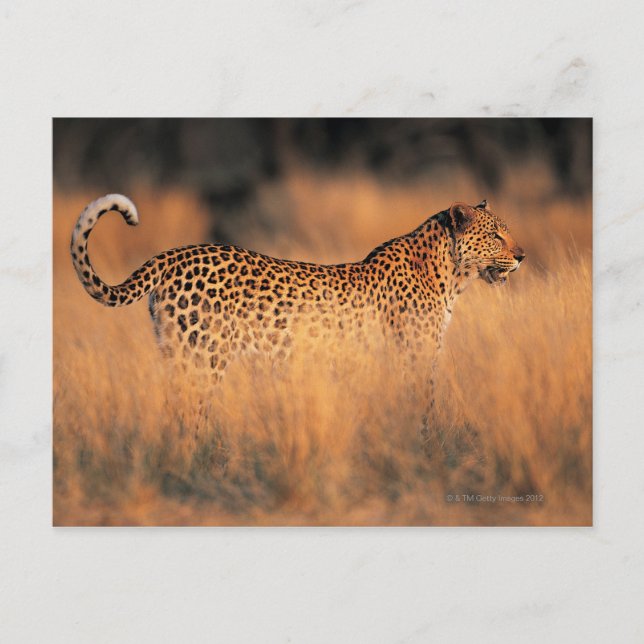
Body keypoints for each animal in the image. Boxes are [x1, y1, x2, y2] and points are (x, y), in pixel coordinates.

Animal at [70, 194, 525, 409]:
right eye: (496, 234)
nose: (522, 255)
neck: (450, 273)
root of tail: (175, 253)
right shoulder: (414, 356)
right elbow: (424, 409)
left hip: (176, 354)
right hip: (203, 358)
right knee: (190, 413)